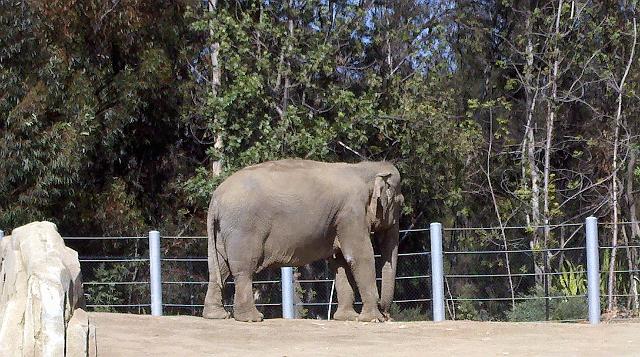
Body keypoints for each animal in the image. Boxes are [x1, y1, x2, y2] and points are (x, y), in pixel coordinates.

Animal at [202, 158, 402, 320]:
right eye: (400, 203)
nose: (387, 314)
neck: (363, 168)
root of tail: (216, 198)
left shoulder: (339, 219)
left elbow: (340, 261)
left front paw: (347, 318)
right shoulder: (351, 213)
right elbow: (360, 255)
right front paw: (372, 319)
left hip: (222, 230)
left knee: (219, 267)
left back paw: (217, 315)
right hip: (243, 228)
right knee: (243, 269)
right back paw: (252, 318)